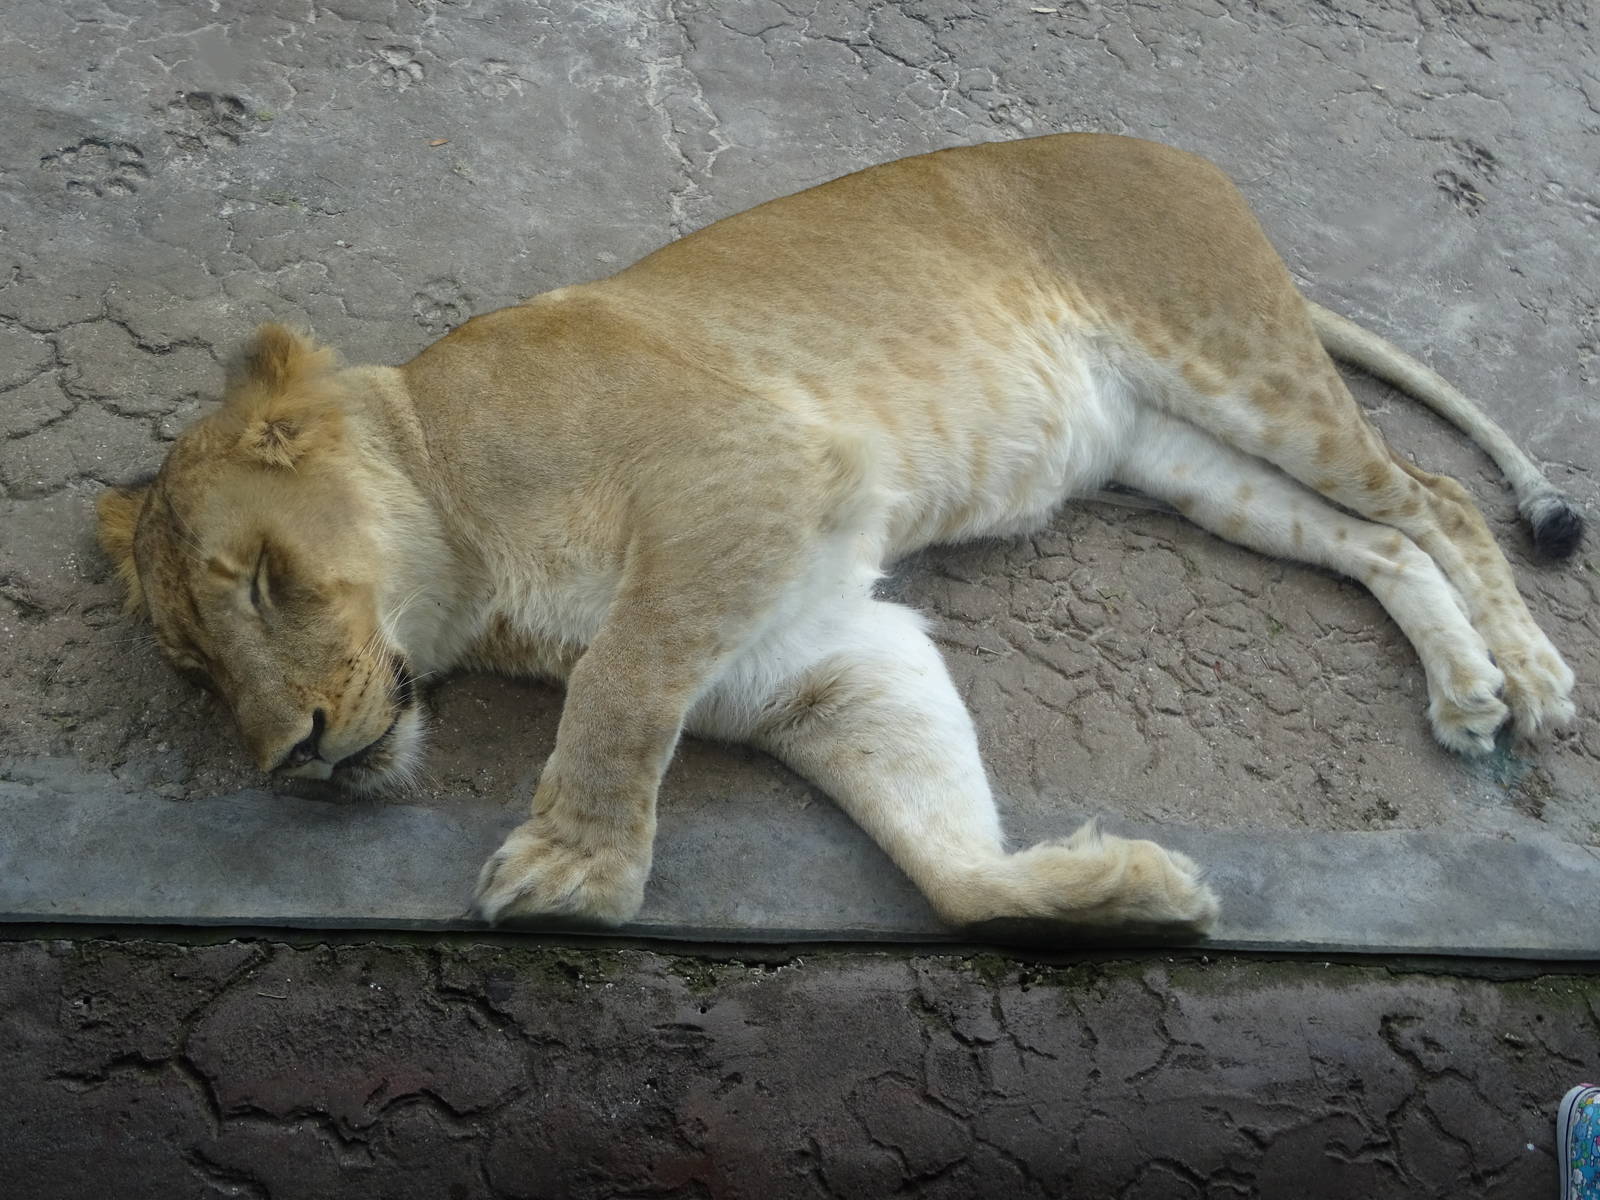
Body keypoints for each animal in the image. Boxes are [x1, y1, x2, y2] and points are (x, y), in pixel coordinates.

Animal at [95, 134, 1581, 935]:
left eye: (267, 580)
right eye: (194, 668)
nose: (291, 758)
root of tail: (1181, 154)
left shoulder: (754, 469)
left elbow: (616, 681)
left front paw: (574, 872)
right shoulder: (815, 651)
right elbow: (943, 855)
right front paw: (1124, 889)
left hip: (1244, 367)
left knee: (1437, 499)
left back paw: (1534, 679)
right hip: (1180, 460)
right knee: (1376, 543)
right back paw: (1464, 688)